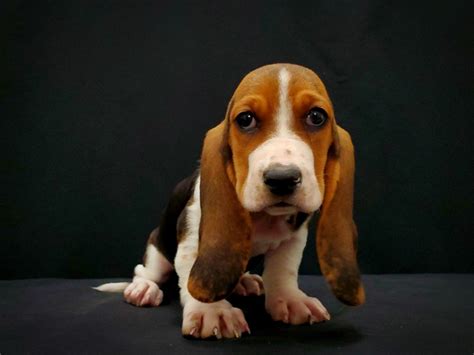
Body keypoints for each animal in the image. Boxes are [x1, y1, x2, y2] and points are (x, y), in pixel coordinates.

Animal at [95, 63, 362, 340]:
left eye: (317, 117)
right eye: (245, 119)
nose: (282, 178)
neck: (264, 218)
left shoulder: (294, 237)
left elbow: (283, 269)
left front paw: (290, 300)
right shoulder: (192, 235)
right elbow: (191, 270)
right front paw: (213, 312)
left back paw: (245, 281)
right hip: (157, 249)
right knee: (145, 271)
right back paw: (143, 289)